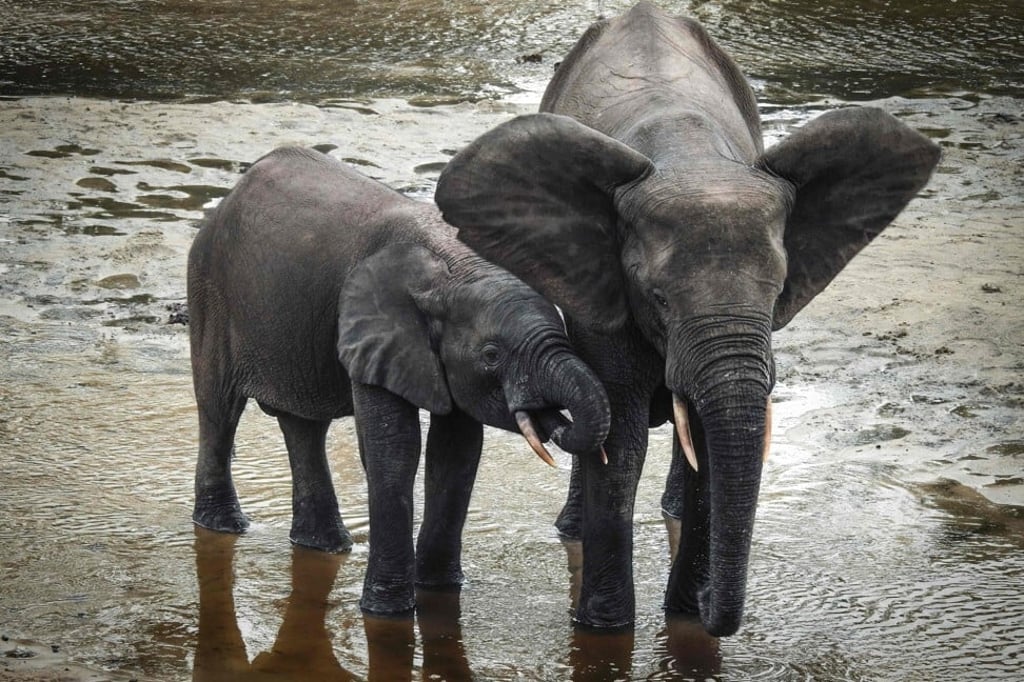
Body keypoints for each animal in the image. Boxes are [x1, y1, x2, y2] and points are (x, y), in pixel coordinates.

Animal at [187, 146, 611, 615]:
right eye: (491, 355)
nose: (548, 415)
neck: (455, 267)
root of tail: (230, 195)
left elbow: (457, 451)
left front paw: (441, 590)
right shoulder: (370, 328)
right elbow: (395, 446)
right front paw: (388, 611)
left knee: (304, 426)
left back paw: (324, 546)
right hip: (209, 287)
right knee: (219, 408)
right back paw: (225, 527)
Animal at [434, 2, 940, 636]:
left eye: (779, 294)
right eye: (659, 298)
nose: (715, 611)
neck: (691, 156)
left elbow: (701, 440)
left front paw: (685, 620)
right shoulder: (610, 292)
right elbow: (621, 444)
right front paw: (605, 629)